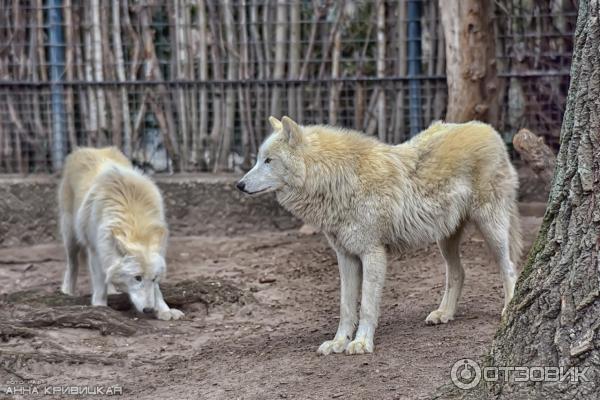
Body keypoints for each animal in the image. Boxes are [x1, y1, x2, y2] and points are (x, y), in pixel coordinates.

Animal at [60, 148, 184, 320]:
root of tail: (88, 149)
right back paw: (68, 292)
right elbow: (99, 283)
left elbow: (157, 291)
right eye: (137, 278)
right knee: (73, 264)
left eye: (153, 278)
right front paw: (100, 307)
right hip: (71, 236)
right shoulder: (95, 250)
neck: (134, 220)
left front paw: (165, 310)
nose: (149, 310)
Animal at [237, 115, 524, 354]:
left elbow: (366, 306)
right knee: (459, 273)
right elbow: (346, 307)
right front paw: (339, 342)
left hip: (491, 228)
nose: (239, 185)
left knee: (509, 268)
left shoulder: (372, 254)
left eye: (268, 160)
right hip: (445, 238)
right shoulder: (346, 256)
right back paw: (444, 313)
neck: (338, 179)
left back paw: (510, 307)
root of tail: (486, 128)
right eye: (257, 159)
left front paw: (361, 343)